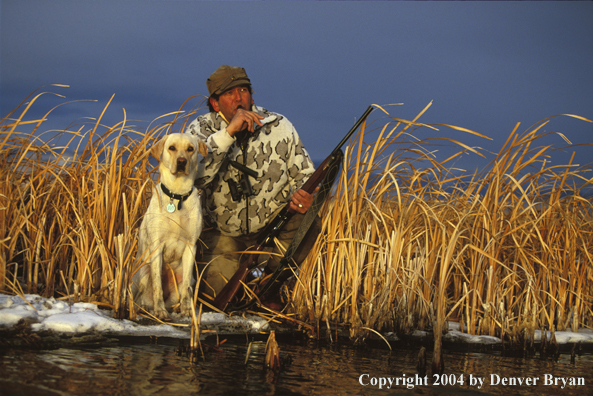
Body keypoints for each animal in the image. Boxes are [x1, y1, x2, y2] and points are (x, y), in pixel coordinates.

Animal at [132, 133, 208, 318]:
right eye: (171, 148)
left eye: (190, 148)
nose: (181, 161)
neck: (177, 195)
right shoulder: (156, 246)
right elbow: (158, 284)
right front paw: (160, 311)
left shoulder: (190, 246)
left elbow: (186, 287)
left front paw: (187, 310)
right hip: (143, 271)